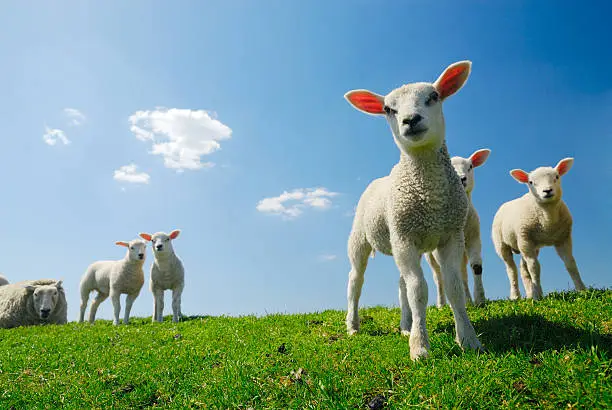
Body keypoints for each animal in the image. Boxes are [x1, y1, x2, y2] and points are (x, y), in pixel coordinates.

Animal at [344, 58, 482, 358]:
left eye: (434, 96)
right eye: (388, 109)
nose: (410, 120)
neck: (430, 196)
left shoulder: (450, 235)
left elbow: (453, 287)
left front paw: (468, 339)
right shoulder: (405, 237)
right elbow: (418, 290)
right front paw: (419, 347)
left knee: (401, 284)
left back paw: (405, 325)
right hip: (363, 238)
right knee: (355, 281)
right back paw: (353, 325)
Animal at [426, 149, 492, 306]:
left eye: (470, 167)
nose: (462, 179)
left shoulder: (474, 237)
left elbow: (476, 267)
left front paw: (480, 299)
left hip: (462, 252)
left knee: (462, 273)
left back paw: (467, 300)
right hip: (430, 255)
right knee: (438, 276)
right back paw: (442, 304)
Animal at [490, 159, 584, 300]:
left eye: (557, 176)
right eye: (531, 182)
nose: (547, 190)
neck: (548, 222)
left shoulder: (563, 238)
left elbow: (570, 263)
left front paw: (582, 290)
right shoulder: (525, 239)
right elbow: (534, 267)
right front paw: (538, 295)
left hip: (529, 245)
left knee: (523, 268)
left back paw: (529, 293)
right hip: (503, 244)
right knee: (512, 270)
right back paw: (516, 296)